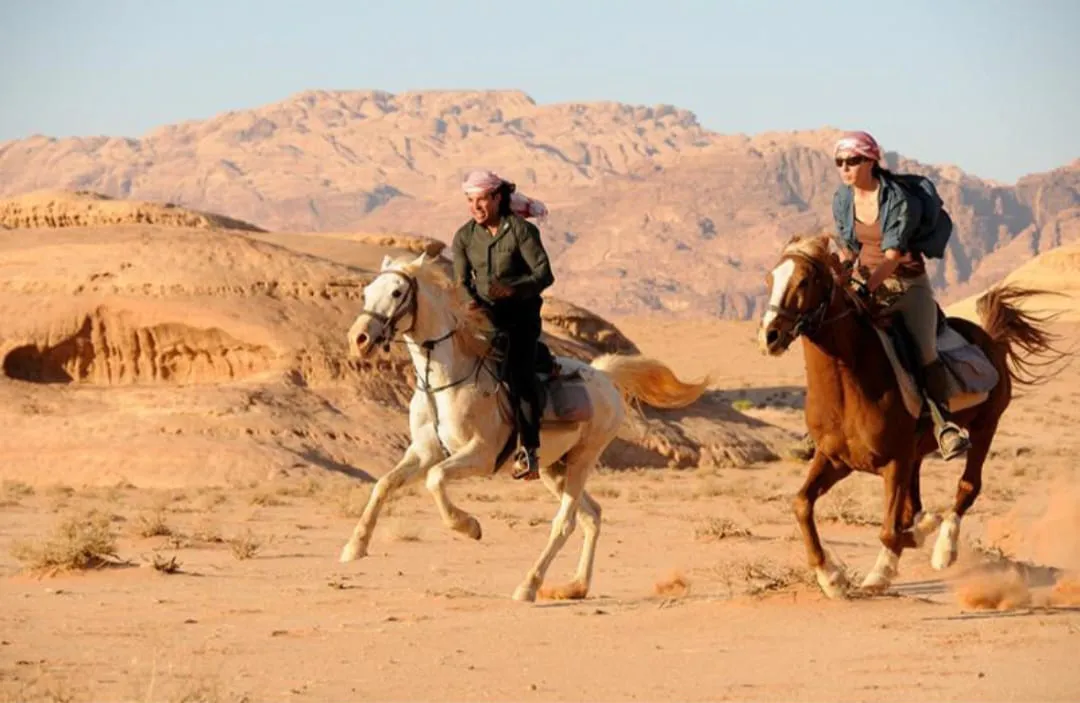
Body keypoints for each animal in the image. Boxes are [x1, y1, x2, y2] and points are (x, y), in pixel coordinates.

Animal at [339, 251, 708, 602]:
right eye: (367, 292)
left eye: (397, 292)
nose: (359, 339)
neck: (445, 381)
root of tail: (605, 377)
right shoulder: (425, 451)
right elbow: (384, 484)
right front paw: (355, 547)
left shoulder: (481, 455)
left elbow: (435, 479)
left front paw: (469, 526)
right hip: (552, 468)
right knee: (592, 515)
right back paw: (576, 587)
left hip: (583, 459)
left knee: (565, 523)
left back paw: (529, 586)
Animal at [757, 234, 1068, 597]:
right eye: (770, 279)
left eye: (805, 280)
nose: (769, 336)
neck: (849, 386)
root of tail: (991, 339)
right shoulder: (836, 459)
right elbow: (802, 504)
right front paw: (831, 577)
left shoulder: (894, 463)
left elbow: (890, 530)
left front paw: (881, 572)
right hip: (918, 452)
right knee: (914, 503)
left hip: (984, 427)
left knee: (967, 486)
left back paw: (944, 550)